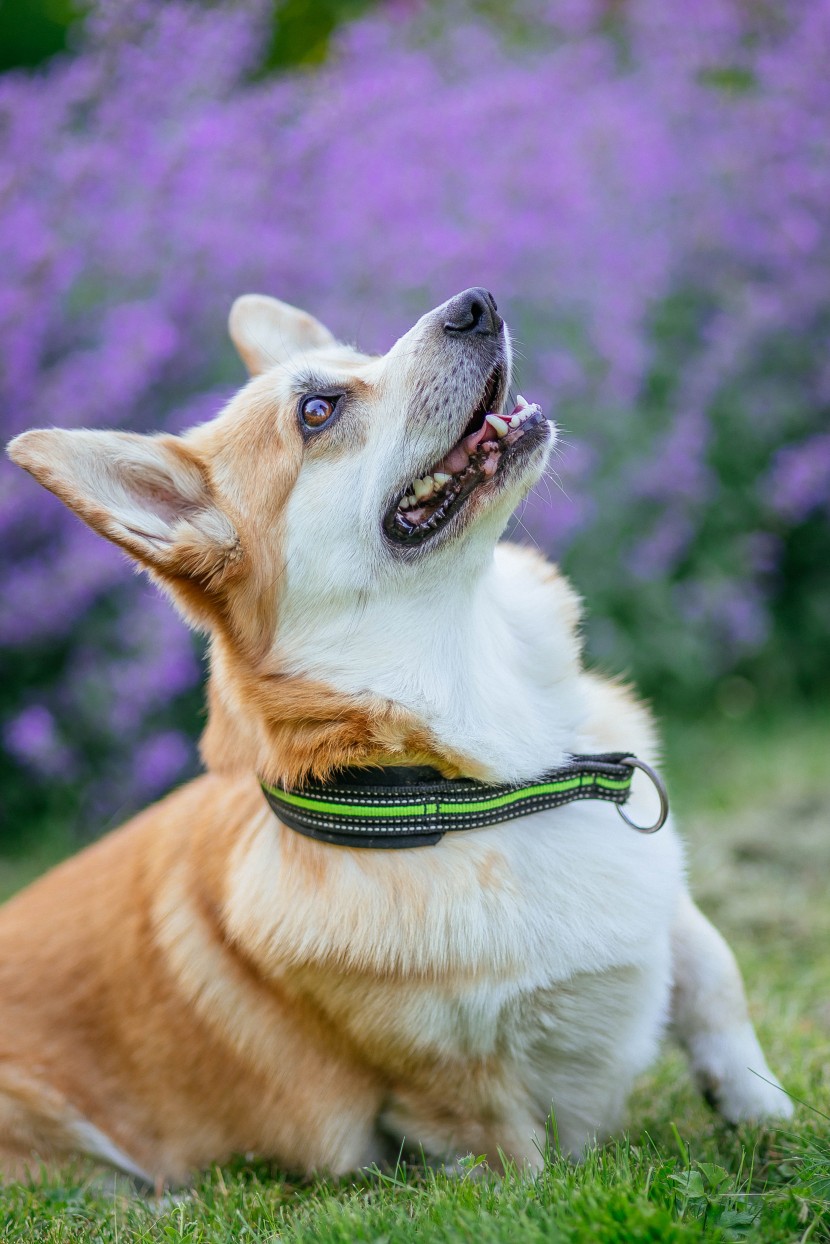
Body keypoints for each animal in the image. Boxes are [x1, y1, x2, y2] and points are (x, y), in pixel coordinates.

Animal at [0, 286, 791, 1179]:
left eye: (359, 358)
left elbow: (713, 973)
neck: (486, 780)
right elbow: (520, 1163)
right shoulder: (451, 1092)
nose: (477, 303)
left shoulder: (673, 910)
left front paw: (762, 1109)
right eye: (317, 410)